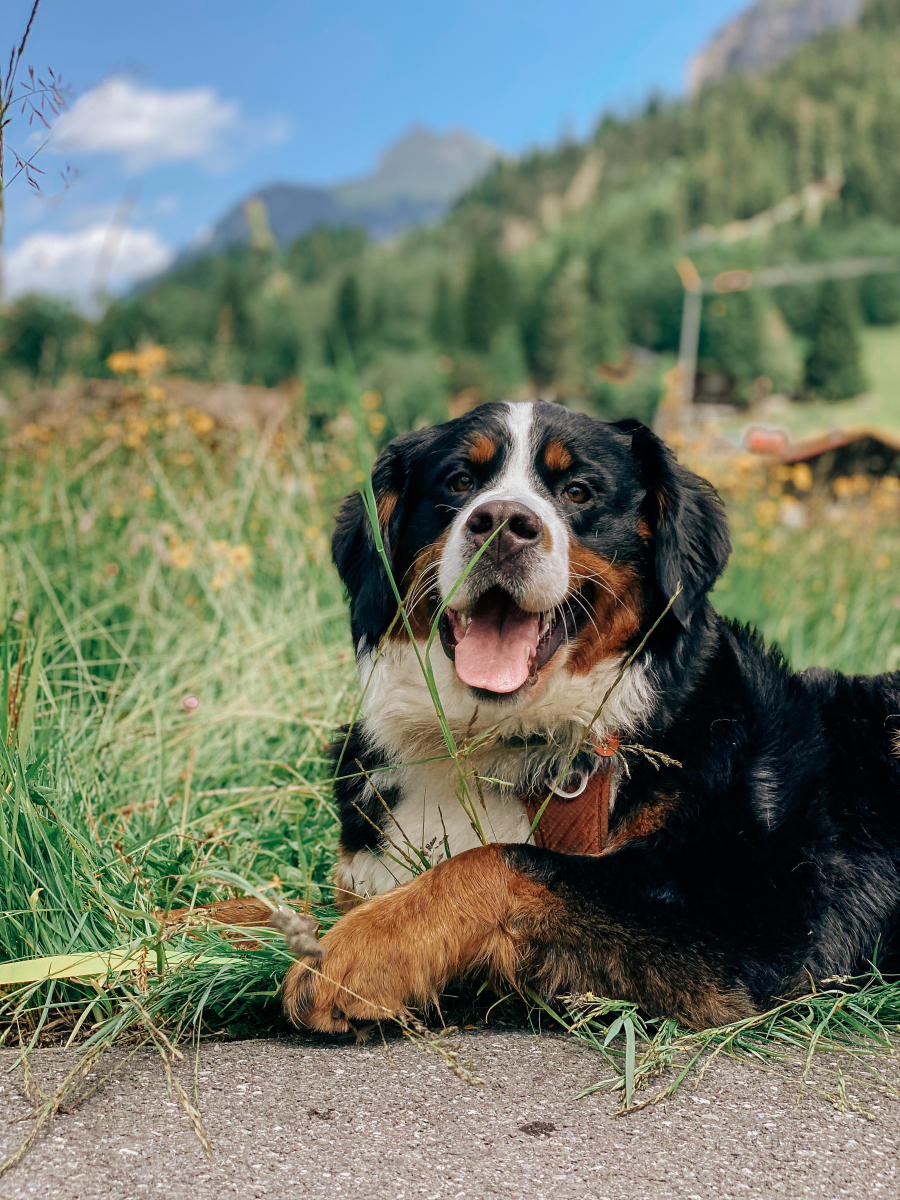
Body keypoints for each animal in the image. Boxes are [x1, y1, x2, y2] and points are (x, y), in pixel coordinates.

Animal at [285, 400, 900, 1032]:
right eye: (459, 482)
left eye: (578, 491)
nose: (501, 522)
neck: (505, 739)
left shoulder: (755, 918)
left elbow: (502, 860)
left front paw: (351, 955)